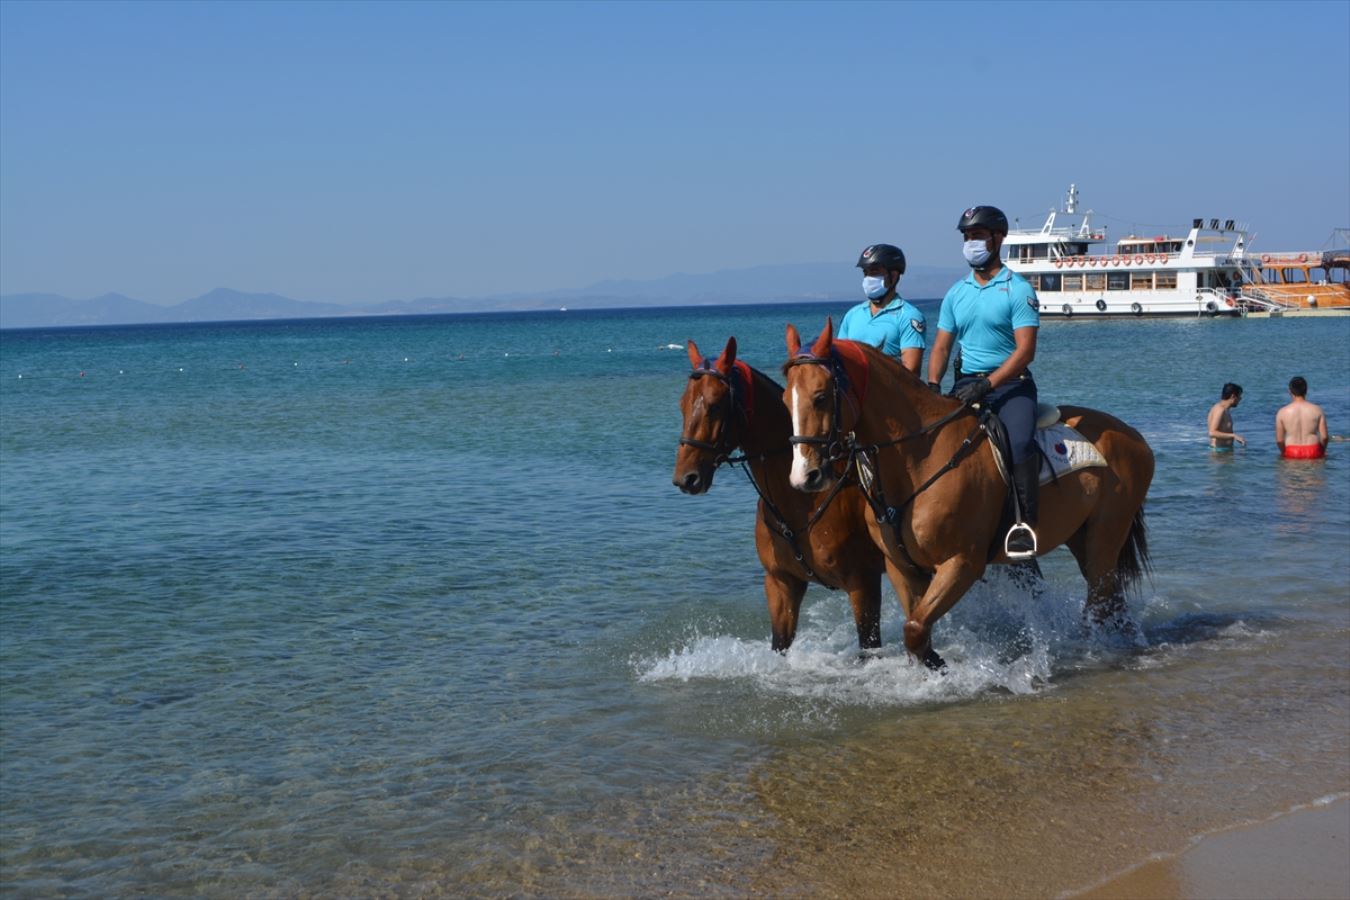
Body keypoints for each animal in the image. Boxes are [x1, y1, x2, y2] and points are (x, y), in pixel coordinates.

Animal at [672, 334, 885, 650]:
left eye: (715, 405)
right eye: (682, 404)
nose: (685, 478)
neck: (802, 498)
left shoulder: (864, 586)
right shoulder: (781, 584)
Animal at [788, 318, 1155, 669]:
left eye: (821, 397)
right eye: (785, 401)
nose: (805, 475)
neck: (918, 458)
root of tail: (1132, 435)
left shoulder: (962, 563)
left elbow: (915, 630)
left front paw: (941, 665)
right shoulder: (903, 568)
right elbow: (917, 629)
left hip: (1104, 538)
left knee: (1100, 601)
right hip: (1082, 537)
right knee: (1111, 604)